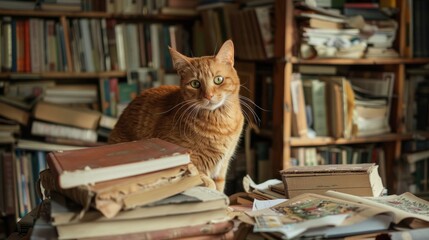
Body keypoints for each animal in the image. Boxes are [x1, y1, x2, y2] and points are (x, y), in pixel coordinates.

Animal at [108, 40, 244, 192]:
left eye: (218, 80)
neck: (221, 123)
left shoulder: (222, 167)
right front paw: (207, 184)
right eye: (195, 83)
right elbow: (199, 175)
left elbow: (219, 188)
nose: (208, 96)